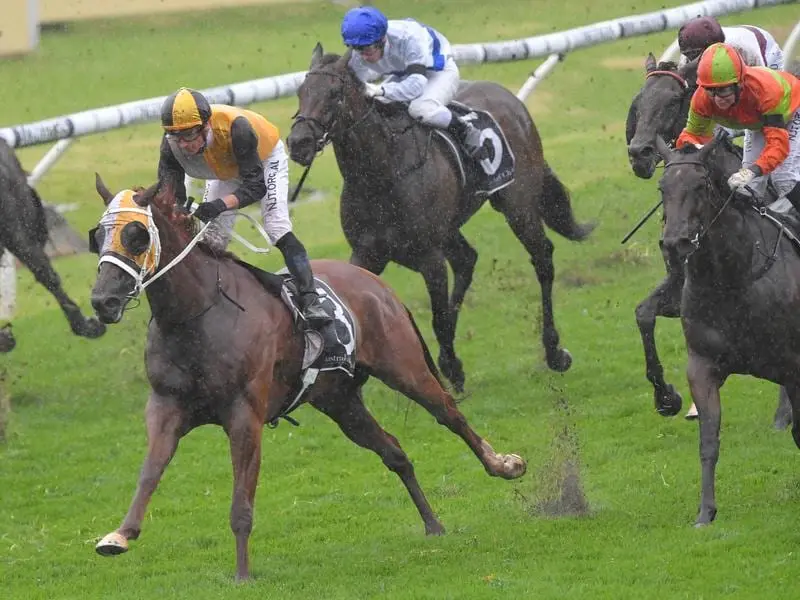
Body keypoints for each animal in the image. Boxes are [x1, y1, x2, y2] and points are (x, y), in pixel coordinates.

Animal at [89, 175, 524, 580]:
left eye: (135, 235)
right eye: (98, 235)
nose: (102, 301)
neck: (197, 313)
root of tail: (373, 280)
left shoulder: (244, 415)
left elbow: (241, 503)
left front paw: (243, 574)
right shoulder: (166, 407)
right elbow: (149, 472)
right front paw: (120, 535)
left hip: (405, 369)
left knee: (449, 413)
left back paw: (502, 464)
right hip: (340, 402)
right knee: (394, 451)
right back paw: (433, 524)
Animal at [288, 45, 592, 394]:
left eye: (334, 94)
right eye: (301, 91)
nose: (298, 143)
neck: (381, 174)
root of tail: (510, 98)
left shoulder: (429, 256)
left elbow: (439, 317)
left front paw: (452, 373)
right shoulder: (366, 253)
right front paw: (449, 366)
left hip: (517, 205)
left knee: (542, 258)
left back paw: (554, 351)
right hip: (451, 229)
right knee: (467, 260)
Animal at [624, 55, 788, 426]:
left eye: (672, 101)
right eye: (639, 102)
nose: (639, 153)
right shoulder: (680, 285)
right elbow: (643, 314)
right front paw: (667, 398)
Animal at [652, 135, 800, 524]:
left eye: (699, 186)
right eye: (662, 188)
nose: (674, 243)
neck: (732, 277)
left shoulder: (793, 366)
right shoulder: (702, 367)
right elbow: (708, 441)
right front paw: (705, 511)